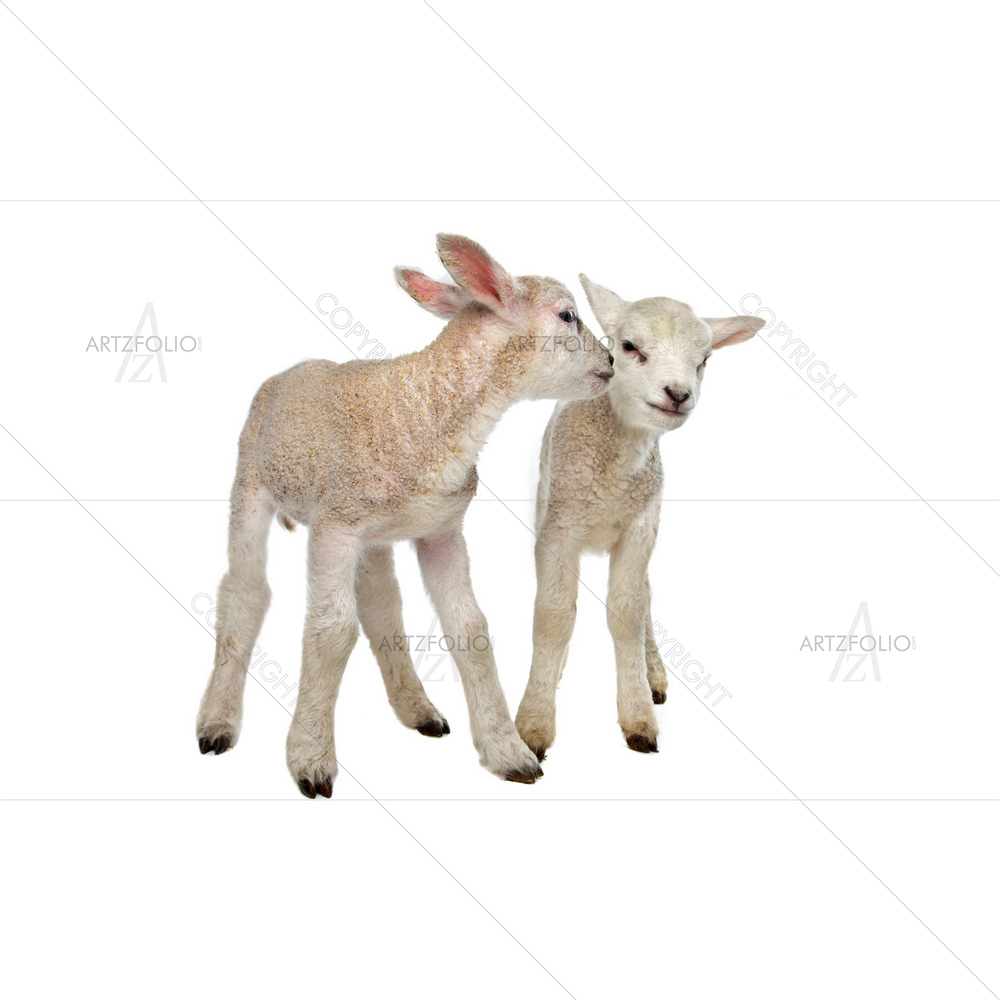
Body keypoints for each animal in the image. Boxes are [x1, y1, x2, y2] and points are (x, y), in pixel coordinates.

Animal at [196, 235, 614, 796]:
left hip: (375, 536)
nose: (610, 360)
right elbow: (332, 632)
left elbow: (471, 628)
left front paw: (509, 752)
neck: (432, 406)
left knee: (381, 606)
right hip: (250, 480)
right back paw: (217, 721)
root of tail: (290, 370)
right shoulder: (333, 525)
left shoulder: (441, 529)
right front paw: (310, 758)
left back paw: (418, 709)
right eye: (568, 315)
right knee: (245, 591)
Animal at [513, 276, 764, 761]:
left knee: (646, 596)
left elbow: (628, 611)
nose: (678, 394)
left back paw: (655, 675)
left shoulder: (639, 528)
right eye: (629, 347)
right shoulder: (556, 527)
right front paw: (534, 722)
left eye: (704, 361)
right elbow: (553, 616)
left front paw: (638, 716)